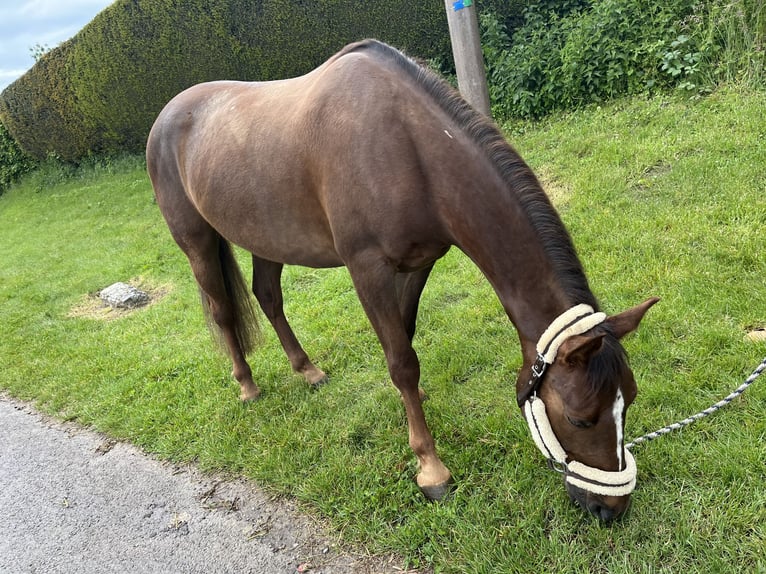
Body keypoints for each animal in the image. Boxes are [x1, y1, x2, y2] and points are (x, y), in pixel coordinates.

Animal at [146, 39, 658, 522]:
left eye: (629, 399)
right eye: (580, 418)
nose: (611, 508)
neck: (408, 147)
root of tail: (167, 115)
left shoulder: (419, 263)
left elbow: (406, 338)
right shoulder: (367, 269)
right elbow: (401, 361)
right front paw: (431, 468)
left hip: (268, 238)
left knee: (269, 298)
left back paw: (307, 370)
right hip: (197, 242)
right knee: (222, 310)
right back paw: (247, 385)